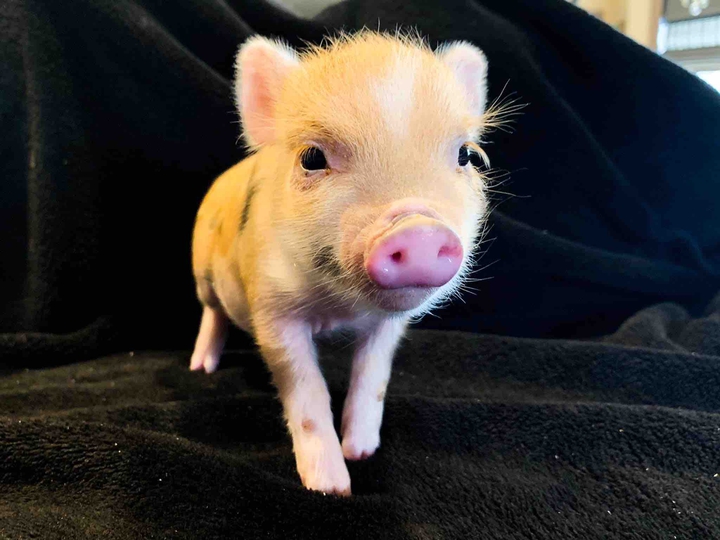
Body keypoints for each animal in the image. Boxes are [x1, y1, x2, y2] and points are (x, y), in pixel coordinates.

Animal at [190, 30, 493, 496]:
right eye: (312, 157)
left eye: (465, 155)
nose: (419, 229)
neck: (339, 309)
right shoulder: (272, 311)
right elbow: (306, 391)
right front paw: (332, 488)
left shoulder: (388, 327)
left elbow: (373, 376)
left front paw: (362, 452)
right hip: (202, 269)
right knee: (212, 312)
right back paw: (202, 367)